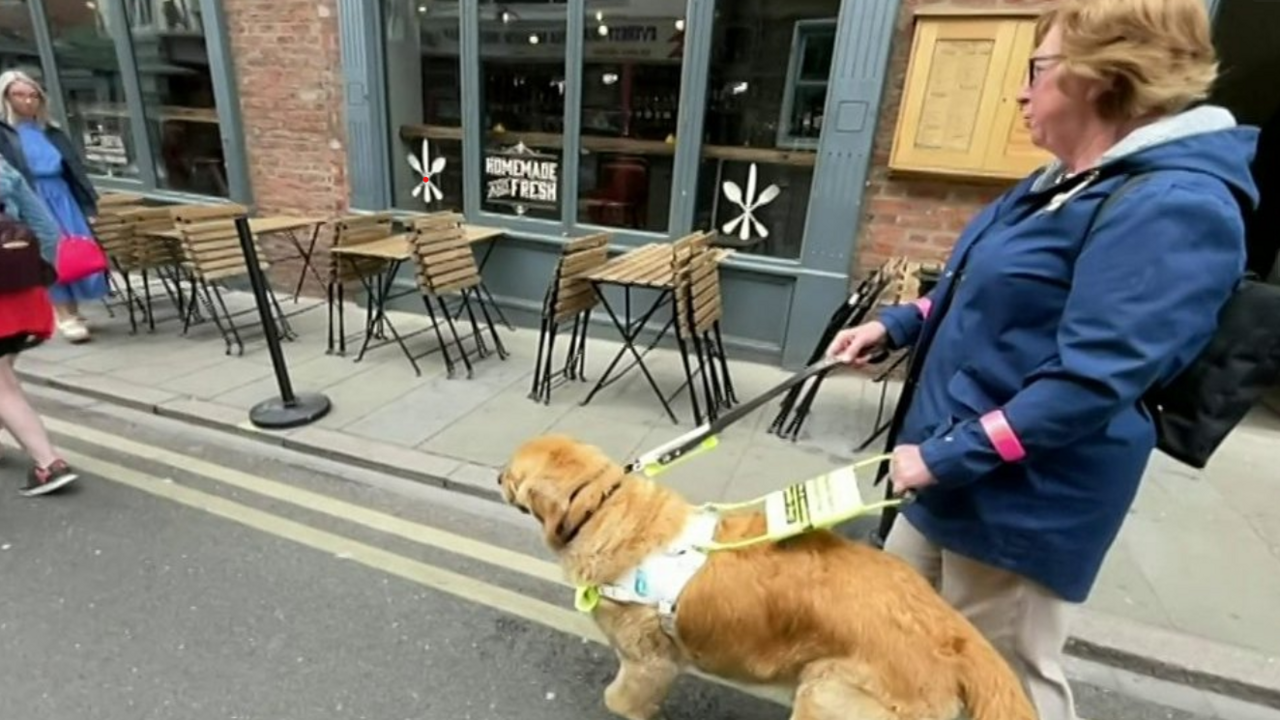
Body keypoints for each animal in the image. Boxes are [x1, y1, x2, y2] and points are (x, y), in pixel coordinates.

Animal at [499, 430, 1039, 717]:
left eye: (510, 474)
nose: (496, 476)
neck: (604, 508)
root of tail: (955, 634)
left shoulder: (648, 661)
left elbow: (625, 696)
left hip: (826, 693)